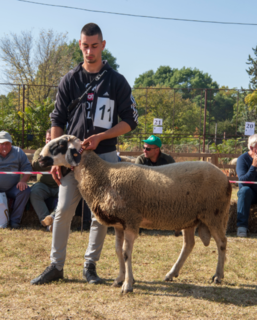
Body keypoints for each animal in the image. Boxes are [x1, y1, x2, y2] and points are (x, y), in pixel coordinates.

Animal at [38, 134, 232, 294]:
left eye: (59, 145)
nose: (39, 159)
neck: (103, 175)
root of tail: (225, 178)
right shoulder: (118, 224)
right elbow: (118, 251)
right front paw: (119, 279)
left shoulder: (130, 220)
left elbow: (126, 252)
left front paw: (127, 285)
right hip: (189, 217)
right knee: (189, 244)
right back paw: (172, 273)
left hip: (214, 214)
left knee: (222, 242)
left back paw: (218, 276)